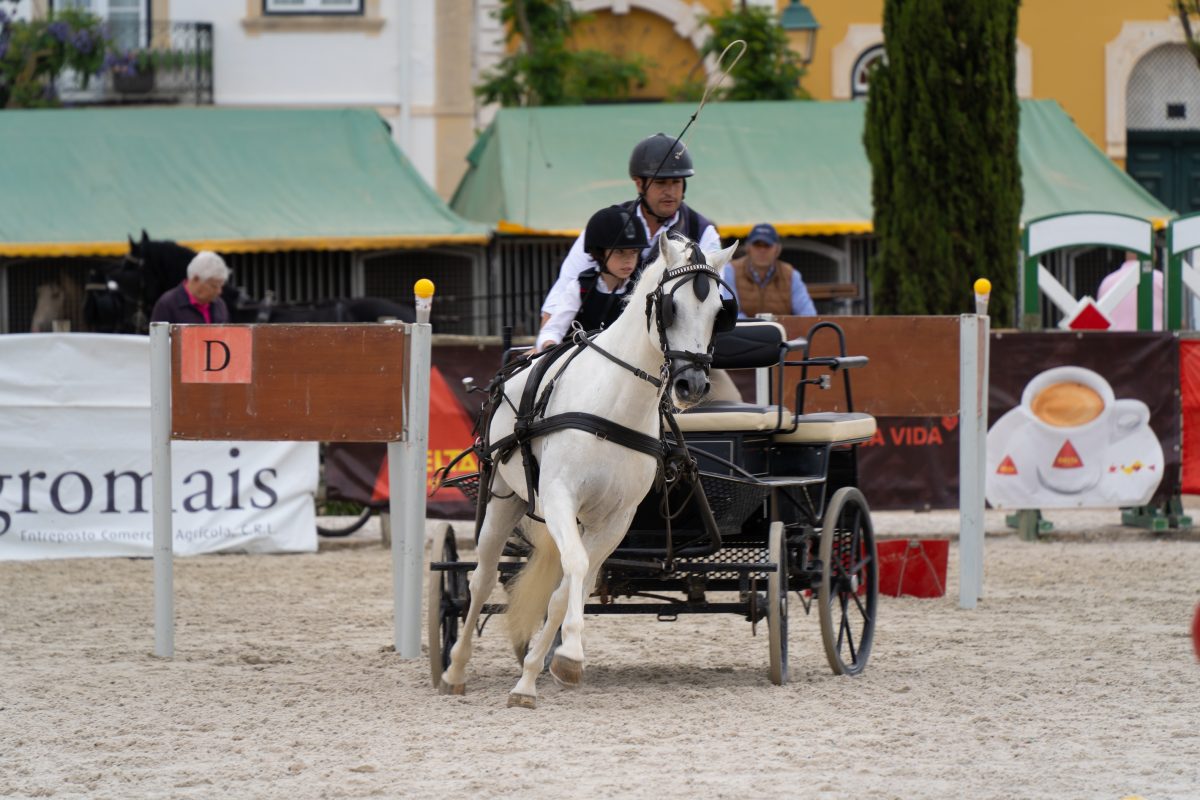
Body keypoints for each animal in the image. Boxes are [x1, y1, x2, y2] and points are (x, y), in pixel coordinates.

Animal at [441, 231, 739, 705]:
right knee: (481, 580)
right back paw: (454, 670)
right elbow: (577, 570)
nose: (692, 385)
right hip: (503, 501)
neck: (613, 406)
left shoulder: (615, 520)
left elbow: (568, 590)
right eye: (670, 306)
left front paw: (551, 667)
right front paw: (558, 660)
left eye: (718, 312)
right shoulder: (560, 498)